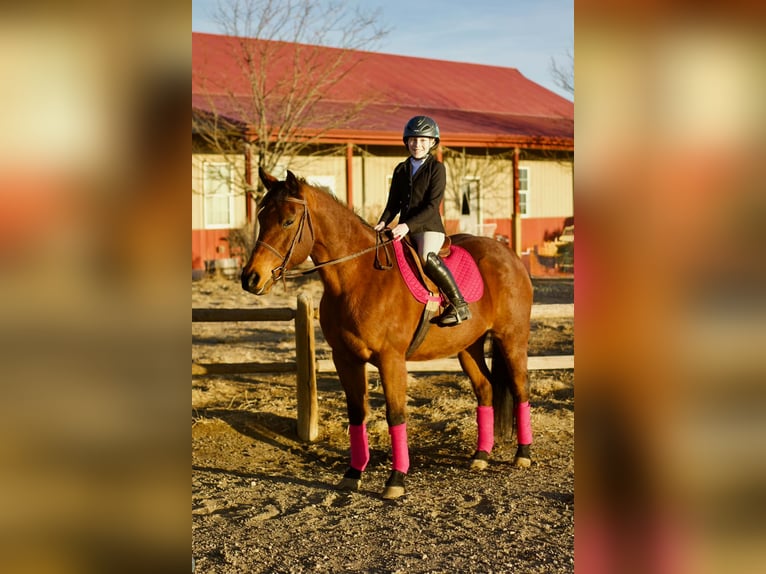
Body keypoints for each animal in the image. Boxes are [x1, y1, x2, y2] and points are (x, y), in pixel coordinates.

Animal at [241, 168, 534, 499]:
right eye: (262, 217)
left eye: (288, 221)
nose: (250, 278)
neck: (358, 277)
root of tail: (508, 254)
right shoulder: (346, 359)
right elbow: (357, 413)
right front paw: (353, 473)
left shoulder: (390, 359)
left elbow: (396, 415)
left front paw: (396, 480)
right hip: (467, 347)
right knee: (485, 388)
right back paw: (481, 456)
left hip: (512, 340)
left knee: (520, 388)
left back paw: (523, 454)